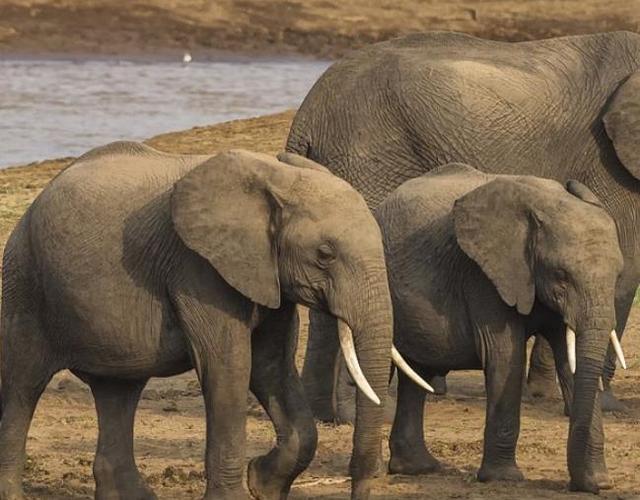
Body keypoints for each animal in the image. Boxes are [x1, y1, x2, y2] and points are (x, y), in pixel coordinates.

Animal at [0, 143, 425, 500]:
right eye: (324, 253)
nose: (360, 488)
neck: (275, 176)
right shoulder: (198, 268)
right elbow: (230, 367)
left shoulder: (267, 276)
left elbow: (271, 367)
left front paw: (264, 487)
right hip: (24, 283)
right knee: (23, 386)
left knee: (118, 391)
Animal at [286, 30, 640, 420]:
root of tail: (308, 112)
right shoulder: (608, 164)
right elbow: (628, 266)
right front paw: (607, 406)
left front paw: (545, 393)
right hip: (367, 157)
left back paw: (323, 412)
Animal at [376, 163, 626, 493]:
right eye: (561, 275)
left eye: (618, 275)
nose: (584, 486)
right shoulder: (483, 275)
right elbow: (506, 354)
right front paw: (504, 478)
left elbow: (570, 361)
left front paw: (597, 481)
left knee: (417, 373)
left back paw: (417, 469)